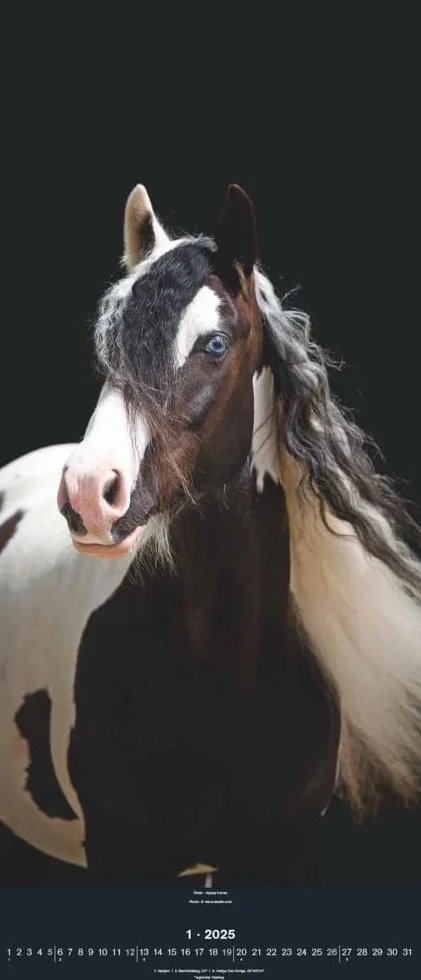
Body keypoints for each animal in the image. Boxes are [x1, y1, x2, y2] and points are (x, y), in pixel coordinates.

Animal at [1, 184, 421, 887]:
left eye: (215, 344)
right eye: (111, 343)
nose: (88, 494)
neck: (225, 677)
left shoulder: (286, 858)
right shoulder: (120, 857)